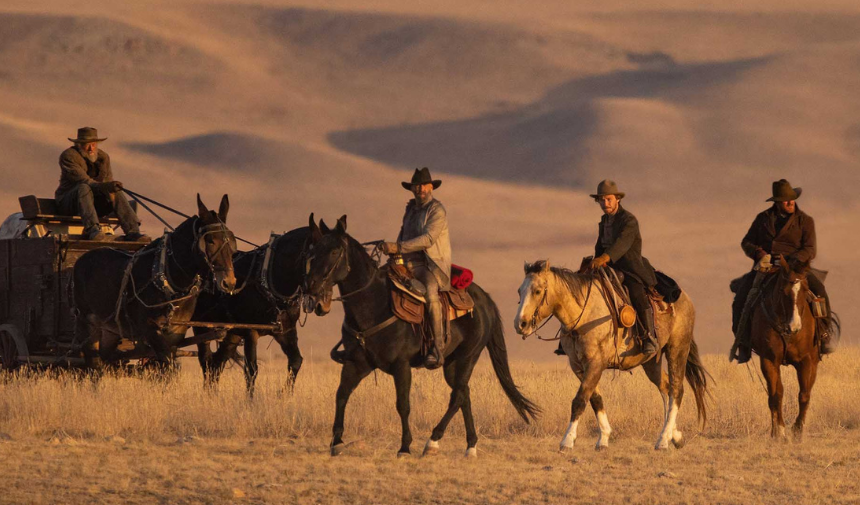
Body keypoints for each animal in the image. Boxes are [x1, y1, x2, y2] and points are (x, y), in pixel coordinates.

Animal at [72, 195, 235, 368]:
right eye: (210, 240)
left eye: (232, 241)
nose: (229, 282)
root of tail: (81, 259)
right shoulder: (150, 328)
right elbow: (166, 360)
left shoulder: (176, 332)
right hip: (86, 322)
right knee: (93, 361)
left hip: (110, 330)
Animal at [192, 223, 312, 394]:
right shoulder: (250, 331)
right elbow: (251, 370)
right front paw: (250, 399)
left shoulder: (285, 330)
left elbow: (296, 360)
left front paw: (284, 394)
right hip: (201, 326)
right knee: (207, 361)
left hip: (232, 333)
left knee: (216, 363)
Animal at [306, 215, 540, 458]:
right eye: (313, 250)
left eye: (334, 251)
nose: (311, 286)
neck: (373, 305)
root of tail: (485, 299)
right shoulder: (356, 363)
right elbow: (341, 394)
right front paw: (336, 442)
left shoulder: (401, 365)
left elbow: (403, 404)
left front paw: (405, 447)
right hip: (452, 363)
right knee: (463, 393)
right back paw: (470, 446)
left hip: (467, 356)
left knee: (458, 395)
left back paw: (432, 441)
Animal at [512, 260, 708, 448]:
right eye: (519, 291)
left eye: (537, 291)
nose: (520, 324)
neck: (584, 314)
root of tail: (685, 299)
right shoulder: (578, 365)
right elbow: (595, 398)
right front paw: (604, 438)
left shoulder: (595, 362)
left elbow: (580, 400)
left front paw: (567, 440)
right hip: (652, 361)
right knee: (665, 387)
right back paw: (675, 436)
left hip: (678, 348)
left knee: (676, 390)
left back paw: (663, 440)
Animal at [752, 256, 828, 438]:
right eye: (782, 290)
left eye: (805, 290)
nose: (794, 326)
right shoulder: (769, 360)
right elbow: (776, 395)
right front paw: (778, 431)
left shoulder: (806, 361)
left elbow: (804, 395)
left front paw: (797, 430)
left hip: (814, 363)